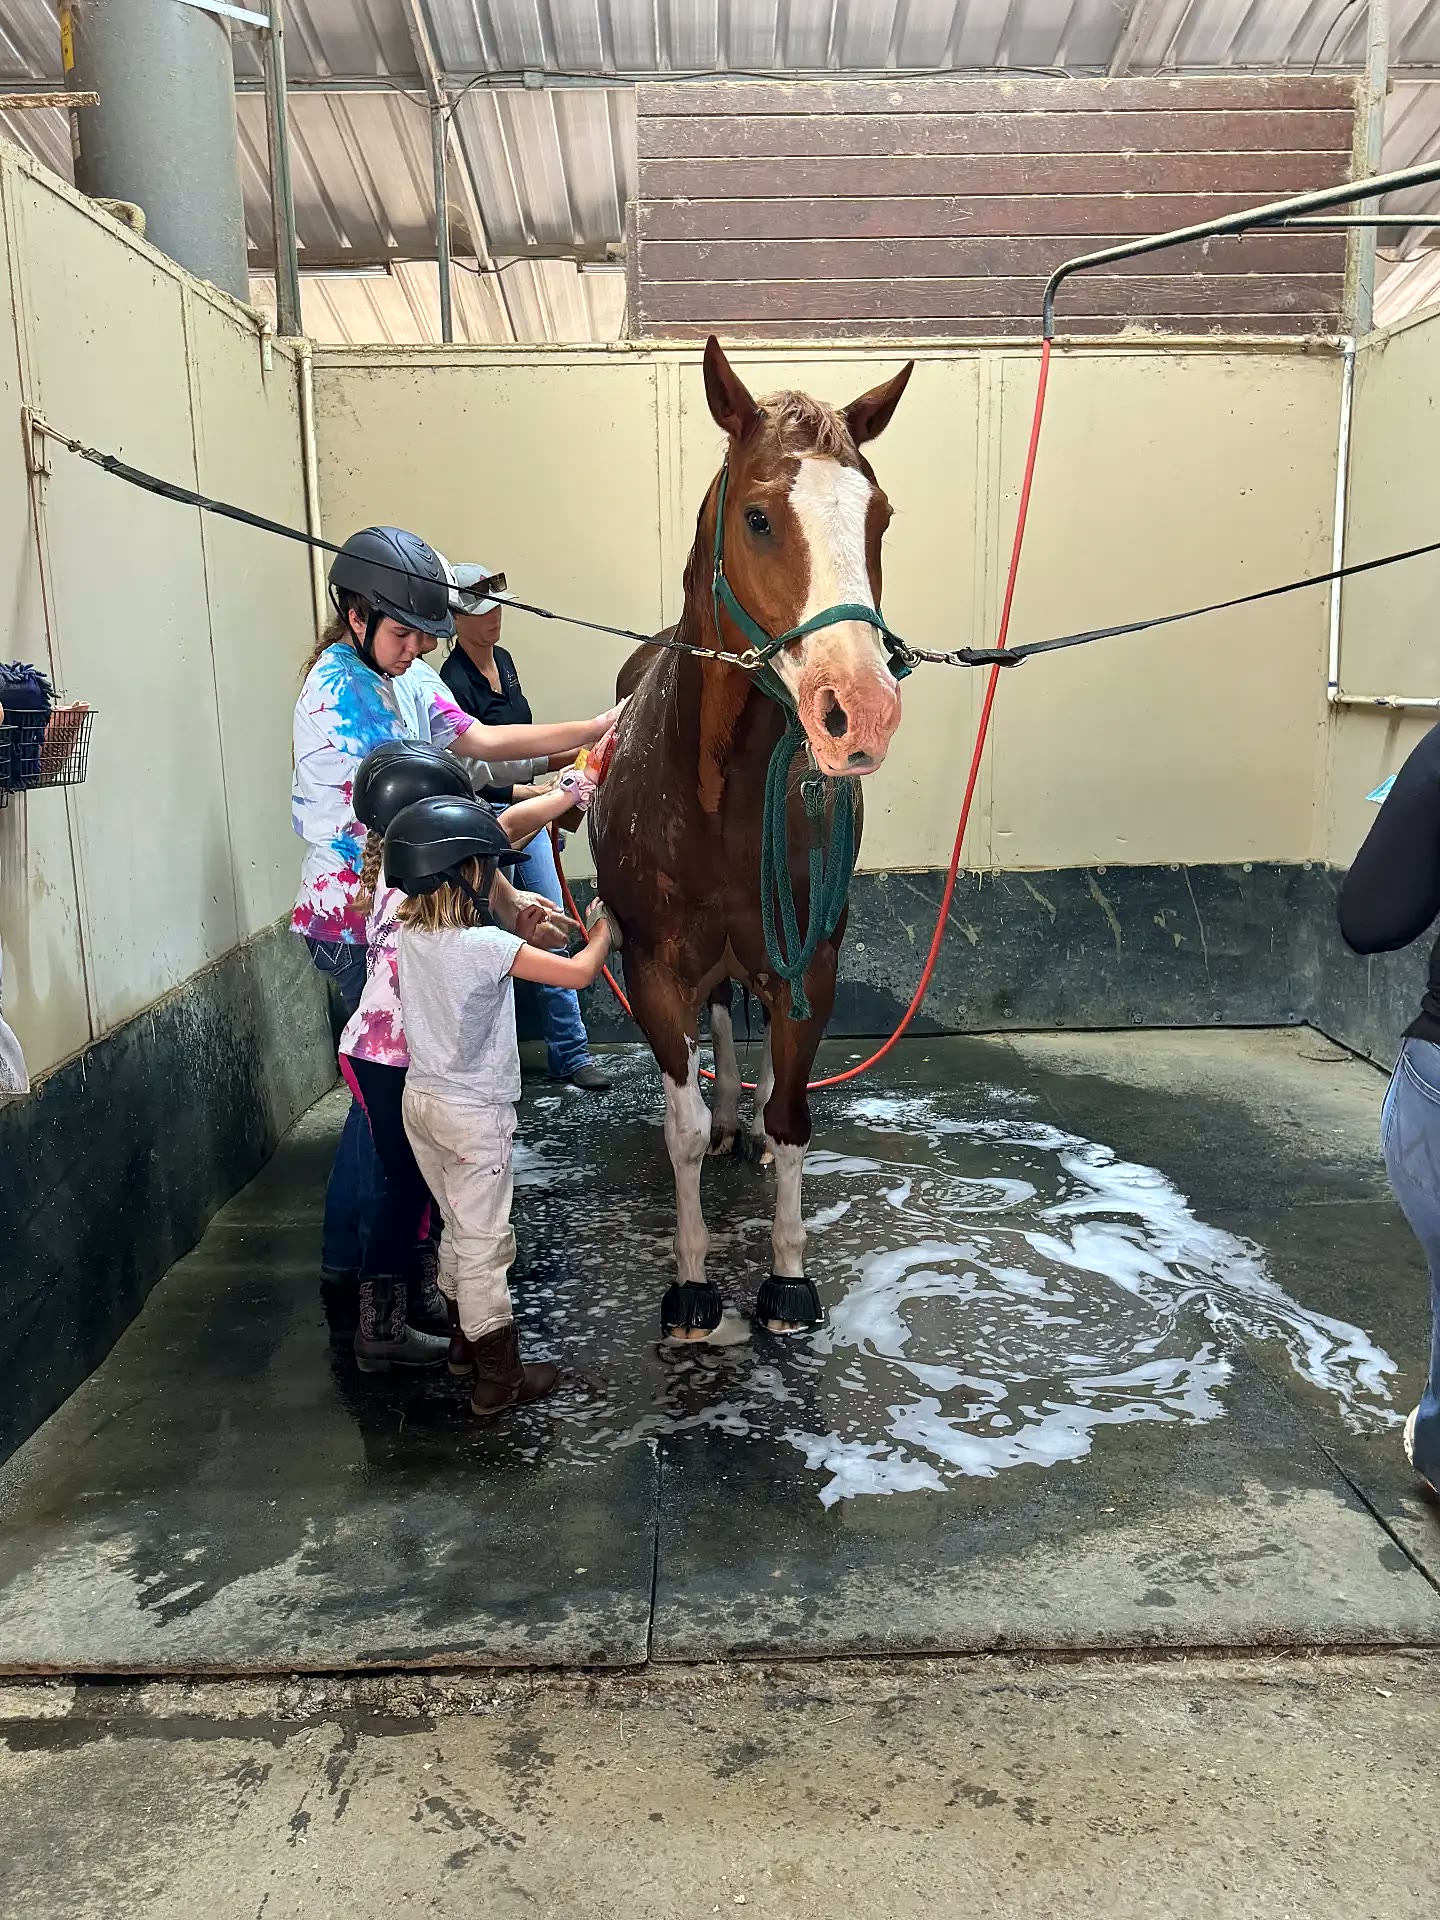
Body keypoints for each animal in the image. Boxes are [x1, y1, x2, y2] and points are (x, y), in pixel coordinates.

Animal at [590, 337, 913, 1341]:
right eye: (760, 516)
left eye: (880, 516)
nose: (863, 711)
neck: (720, 799)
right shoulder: (654, 969)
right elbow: (683, 1128)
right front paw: (694, 1284)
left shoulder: (809, 961)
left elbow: (796, 1115)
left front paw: (788, 1275)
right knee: (721, 1034)